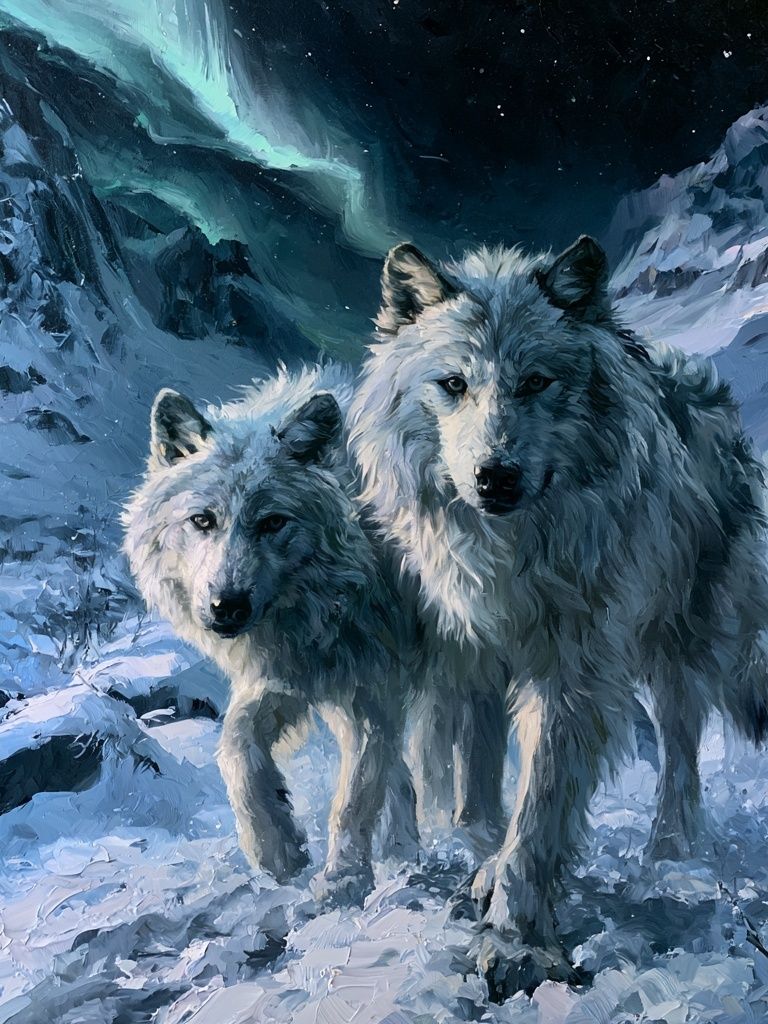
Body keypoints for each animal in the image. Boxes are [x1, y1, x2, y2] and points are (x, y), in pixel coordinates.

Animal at [123, 364, 419, 906]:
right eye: (202, 520)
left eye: (272, 522)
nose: (227, 607)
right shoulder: (282, 680)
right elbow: (236, 749)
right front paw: (276, 849)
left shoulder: (369, 691)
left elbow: (354, 796)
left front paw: (344, 879)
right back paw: (402, 852)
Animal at [349, 236, 768, 996]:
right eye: (453, 384)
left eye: (536, 382)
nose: (495, 476)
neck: (510, 557)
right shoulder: (463, 663)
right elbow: (471, 795)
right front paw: (478, 859)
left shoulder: (572, 673)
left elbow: (540, 805)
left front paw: (515, 940)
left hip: (680, 643)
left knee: (682, 746)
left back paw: (670, 853)